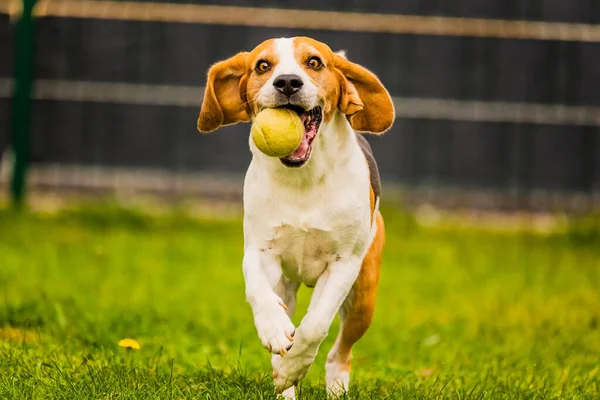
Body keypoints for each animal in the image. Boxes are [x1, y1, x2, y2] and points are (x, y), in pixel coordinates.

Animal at [197, 36, 394, 396]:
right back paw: (285, 384)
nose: (288, 82)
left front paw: (294, 366)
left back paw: (333, 387)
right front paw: (275, 332)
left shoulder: (344, 264)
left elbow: (315, 325)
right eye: (262, 65)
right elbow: (258, 291)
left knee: (340, 351)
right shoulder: (258, 251)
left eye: (314, 62)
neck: (303, 179)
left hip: (363, 298)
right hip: (288, 286)